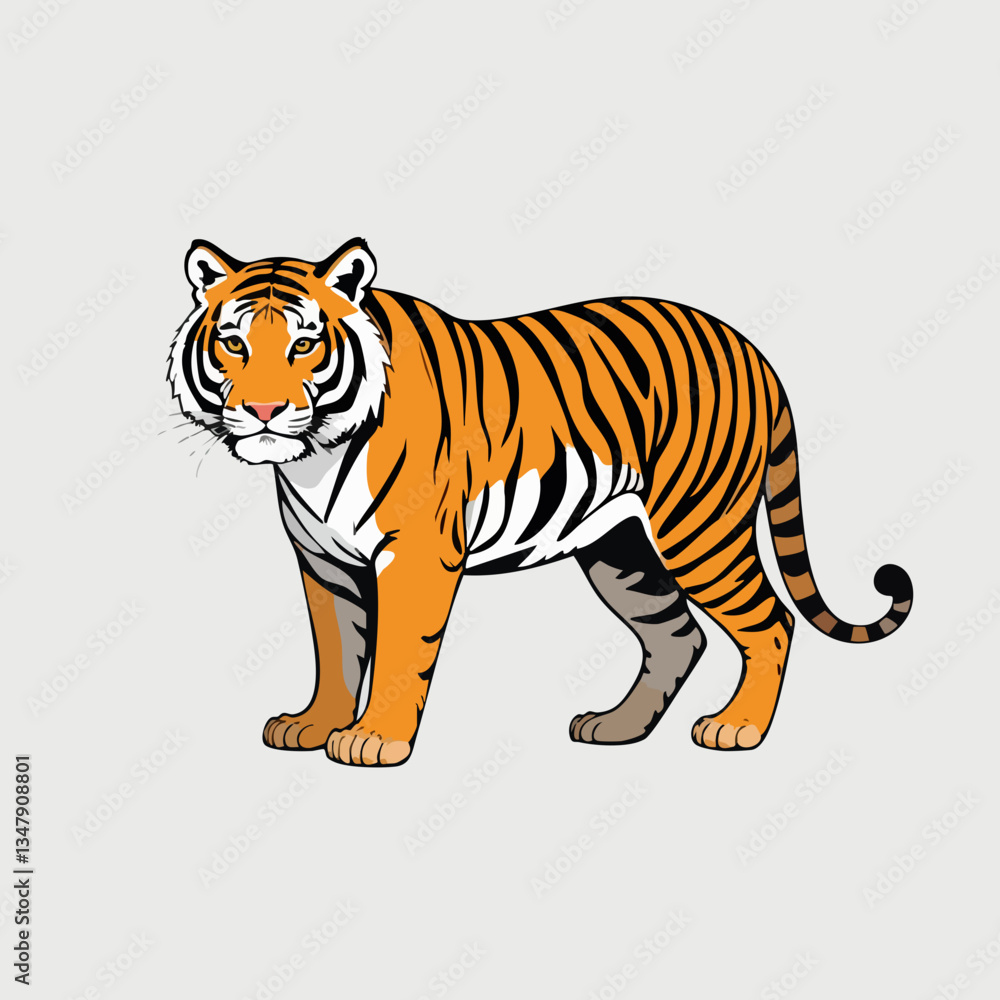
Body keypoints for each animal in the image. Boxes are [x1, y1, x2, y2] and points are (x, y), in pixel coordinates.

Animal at [168, 237, 912, 767]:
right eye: (233, 343)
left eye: (305, 343)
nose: (264, 411)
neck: (317, 456)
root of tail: (754, 350)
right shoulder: (323, 562)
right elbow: (336, 647)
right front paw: (315, 725)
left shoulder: (416, 554)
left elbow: (400, 650)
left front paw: (373, 740)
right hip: (619, 550)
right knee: (677, 633)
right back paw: (616, 728)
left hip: (698, 528)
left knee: (770, 622)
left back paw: (738, 729)